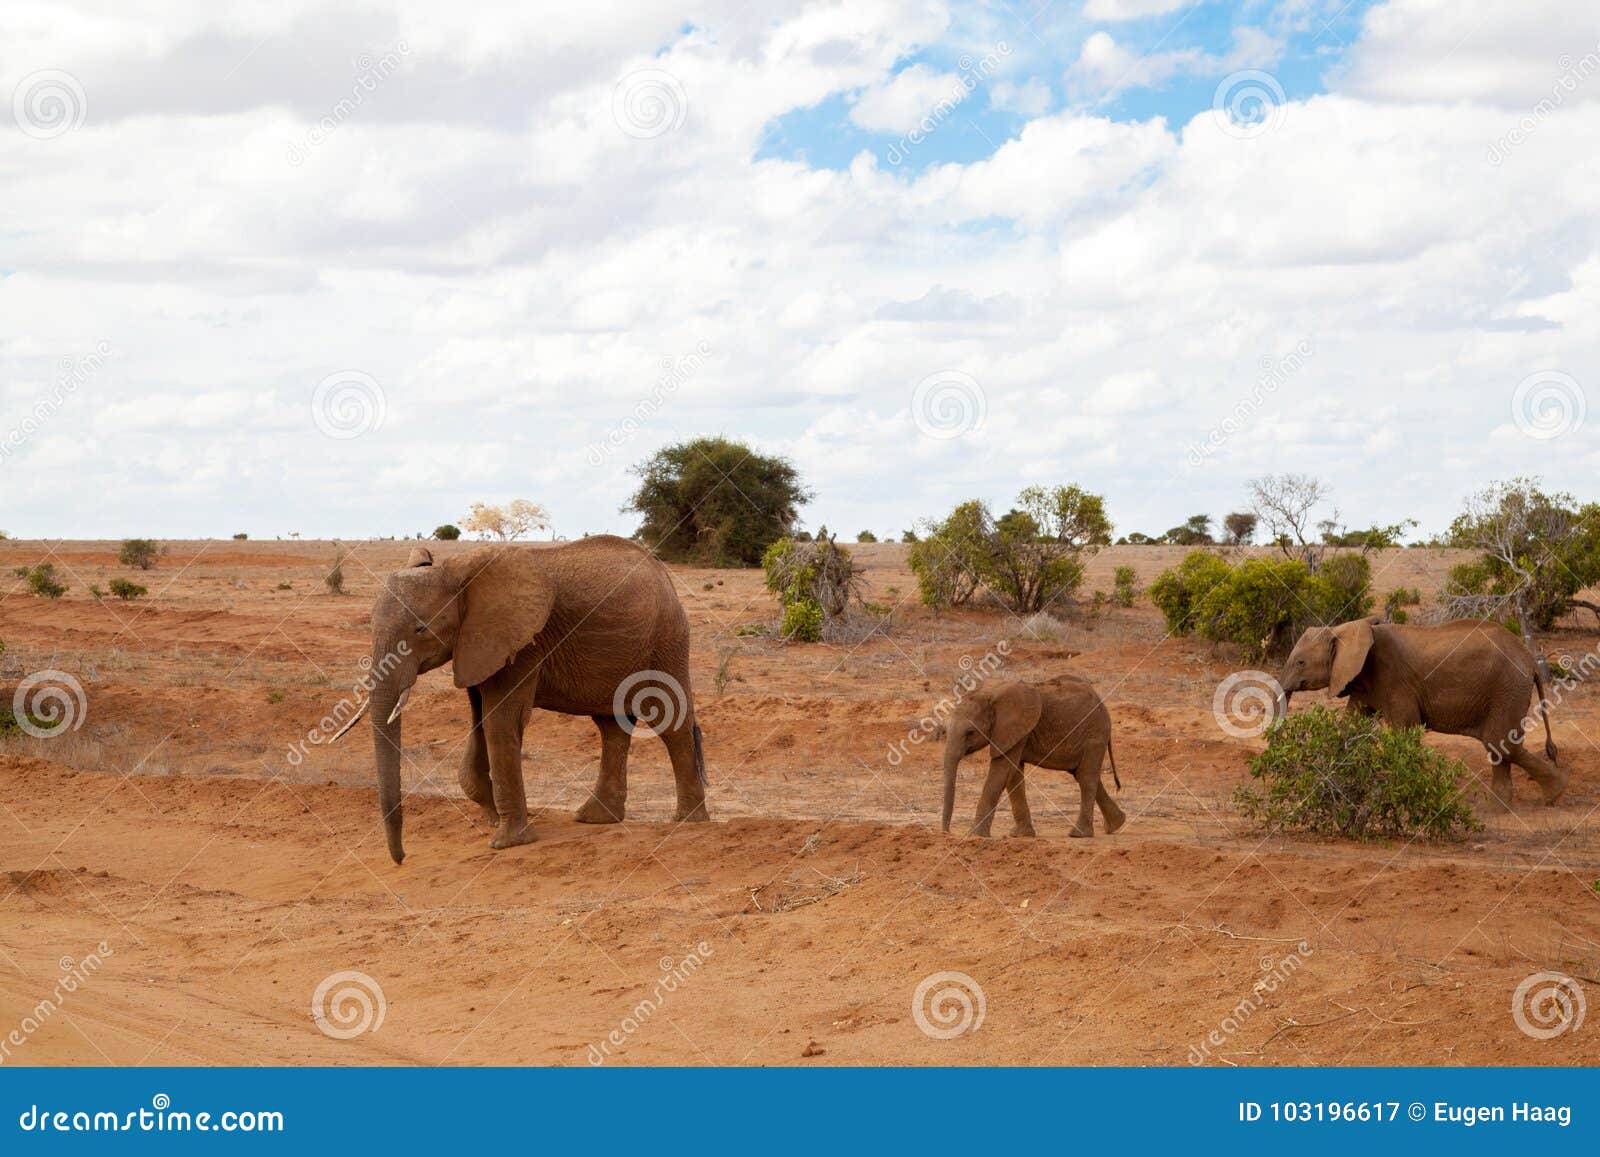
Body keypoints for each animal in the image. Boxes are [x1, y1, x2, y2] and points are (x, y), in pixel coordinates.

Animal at [342, 537, 707, 864]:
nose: (401, 859)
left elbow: (501, 721)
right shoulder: (477, 645)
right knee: (611, 726)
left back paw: (688, 821)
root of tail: (663, 572)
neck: (457, 575)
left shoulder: (523, 642)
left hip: (666, 639)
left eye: (421, 629)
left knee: (670, 721)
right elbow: (480, 719)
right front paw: (492, 817)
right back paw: (595, 818)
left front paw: (508, 842)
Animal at [934, 668, 1126, 844]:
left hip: (1095, 735)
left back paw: (1079, 834)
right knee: (1084, 775)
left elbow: (1001, 772)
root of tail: (1102, 703)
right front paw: (1020, 835)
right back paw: (1116, 824)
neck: (990, 693)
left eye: (970, 732)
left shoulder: (1014, 728)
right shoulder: (1016, 732)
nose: (946, 833)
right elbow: (1013, 776)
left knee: (1086, 778)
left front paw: (975, 835)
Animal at [1280, 614, 1568, 806]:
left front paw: (1402, 792)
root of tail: (1531, 660)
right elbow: (1349, 726)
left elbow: (1404, 732)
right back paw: (1500, 806)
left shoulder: (1396, 681)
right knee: (1498, 746)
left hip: (1507, 686)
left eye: (1301, 662)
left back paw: (1554, 795)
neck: (1346, 629)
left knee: (1500, 743)